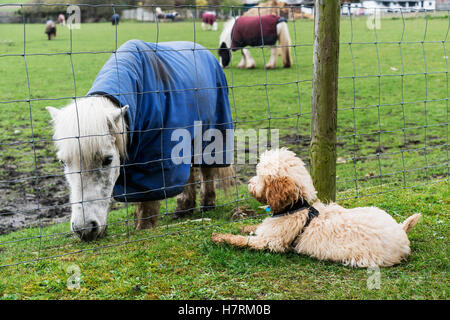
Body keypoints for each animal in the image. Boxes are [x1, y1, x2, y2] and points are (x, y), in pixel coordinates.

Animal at [47, 39, 234, 240]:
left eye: (108, 160)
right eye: (63, 162)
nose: (85, 229)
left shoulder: (154, 162)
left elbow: (148, 200)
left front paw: (144, 228)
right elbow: (139, 196)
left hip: (212, 131)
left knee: (207, 169)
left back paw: (207, 205)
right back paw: (184, 208)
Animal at [212, 148, 422, 268]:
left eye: (261, 176)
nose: (249, 183)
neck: (297, 206)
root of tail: (401, 231)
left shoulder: (271, 242)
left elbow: (243, 240)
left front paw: (220, 237)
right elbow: (253, 228)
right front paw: (243, 226)